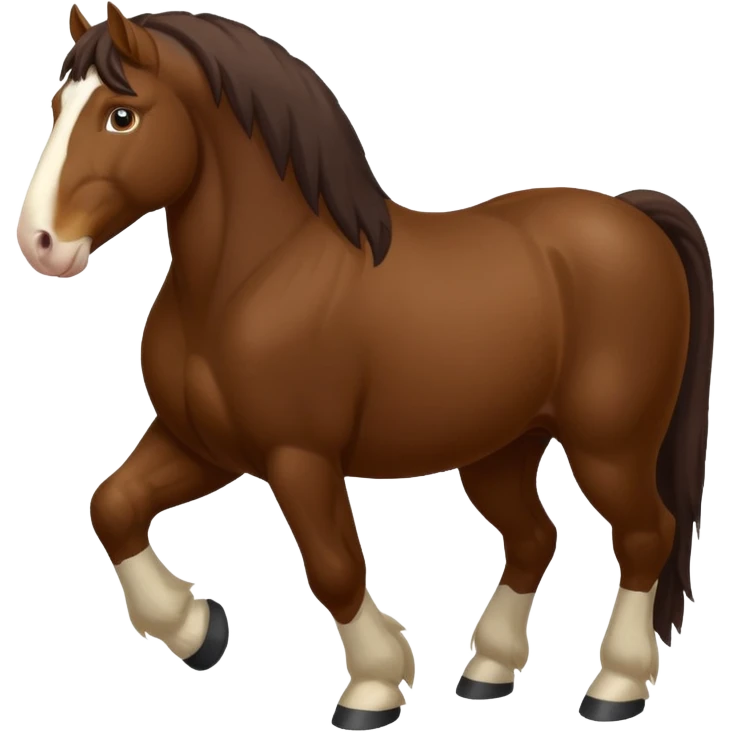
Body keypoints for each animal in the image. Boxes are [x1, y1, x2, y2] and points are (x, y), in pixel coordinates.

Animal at [17, 3, 714, 728]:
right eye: (57, 105)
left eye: (121, 115)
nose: (40, 242)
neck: (258, 275)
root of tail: (633, 215)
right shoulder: (201, 445)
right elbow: (112, 506)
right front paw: (200, 631)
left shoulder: (298, 457)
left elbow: (335, 567)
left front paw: (374, 685)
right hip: (503, 449)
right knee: (533, 539)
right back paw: (488, 673)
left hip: (611, 445)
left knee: (645, 535)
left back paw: (616, 686)